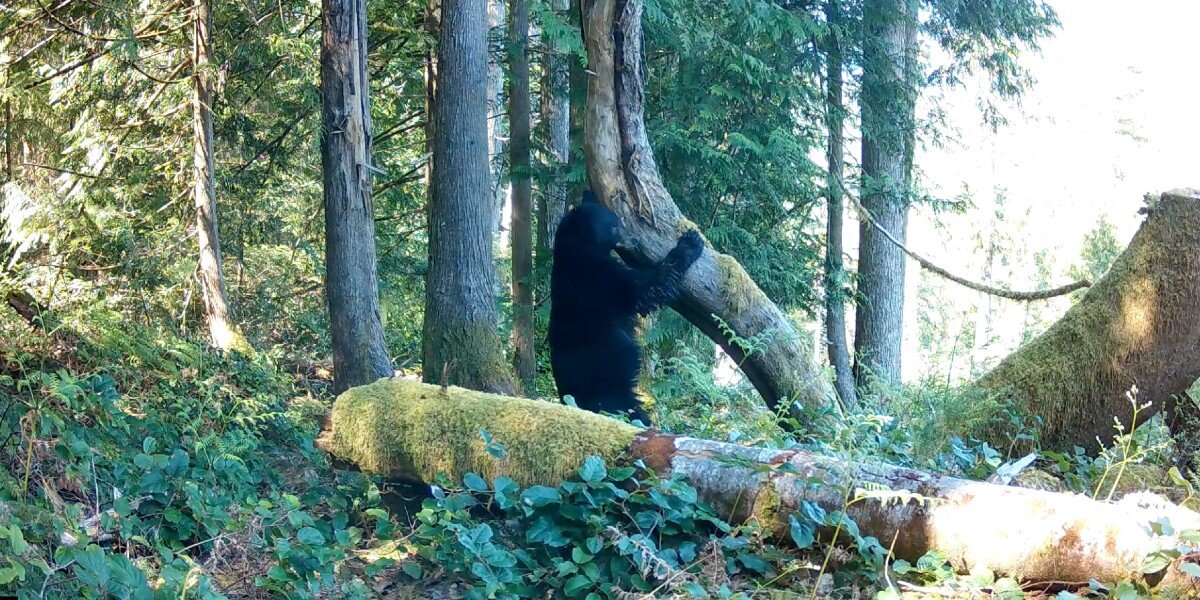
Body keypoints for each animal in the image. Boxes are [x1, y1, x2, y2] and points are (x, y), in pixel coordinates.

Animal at [548, 190, 704, 425]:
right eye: (614, 224)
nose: (633, 237)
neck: (576, 253)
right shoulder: (601, 280)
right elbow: (647, 289)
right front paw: (690, 242)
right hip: (613, 399)